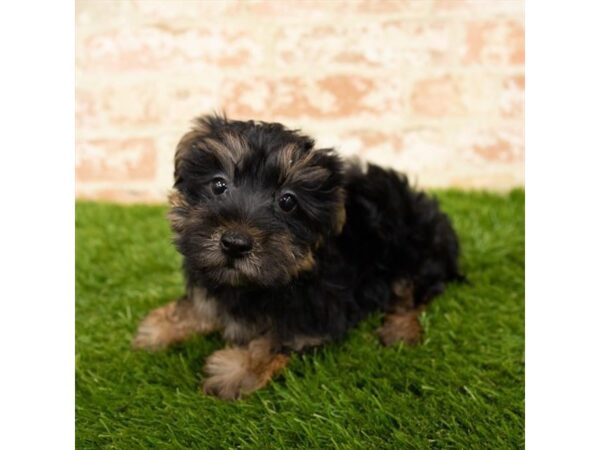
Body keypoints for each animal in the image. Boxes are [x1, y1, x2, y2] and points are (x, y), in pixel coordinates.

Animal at [134, 114, 464, 400]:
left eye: (288, 201)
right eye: (218, 185)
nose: (235, 243)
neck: (252, 285)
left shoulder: (317, 311)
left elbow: (277, 338)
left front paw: (236, 371)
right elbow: (200, 305)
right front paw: (161, 328)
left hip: (416, 249)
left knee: (414, 294)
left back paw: (400, 330)